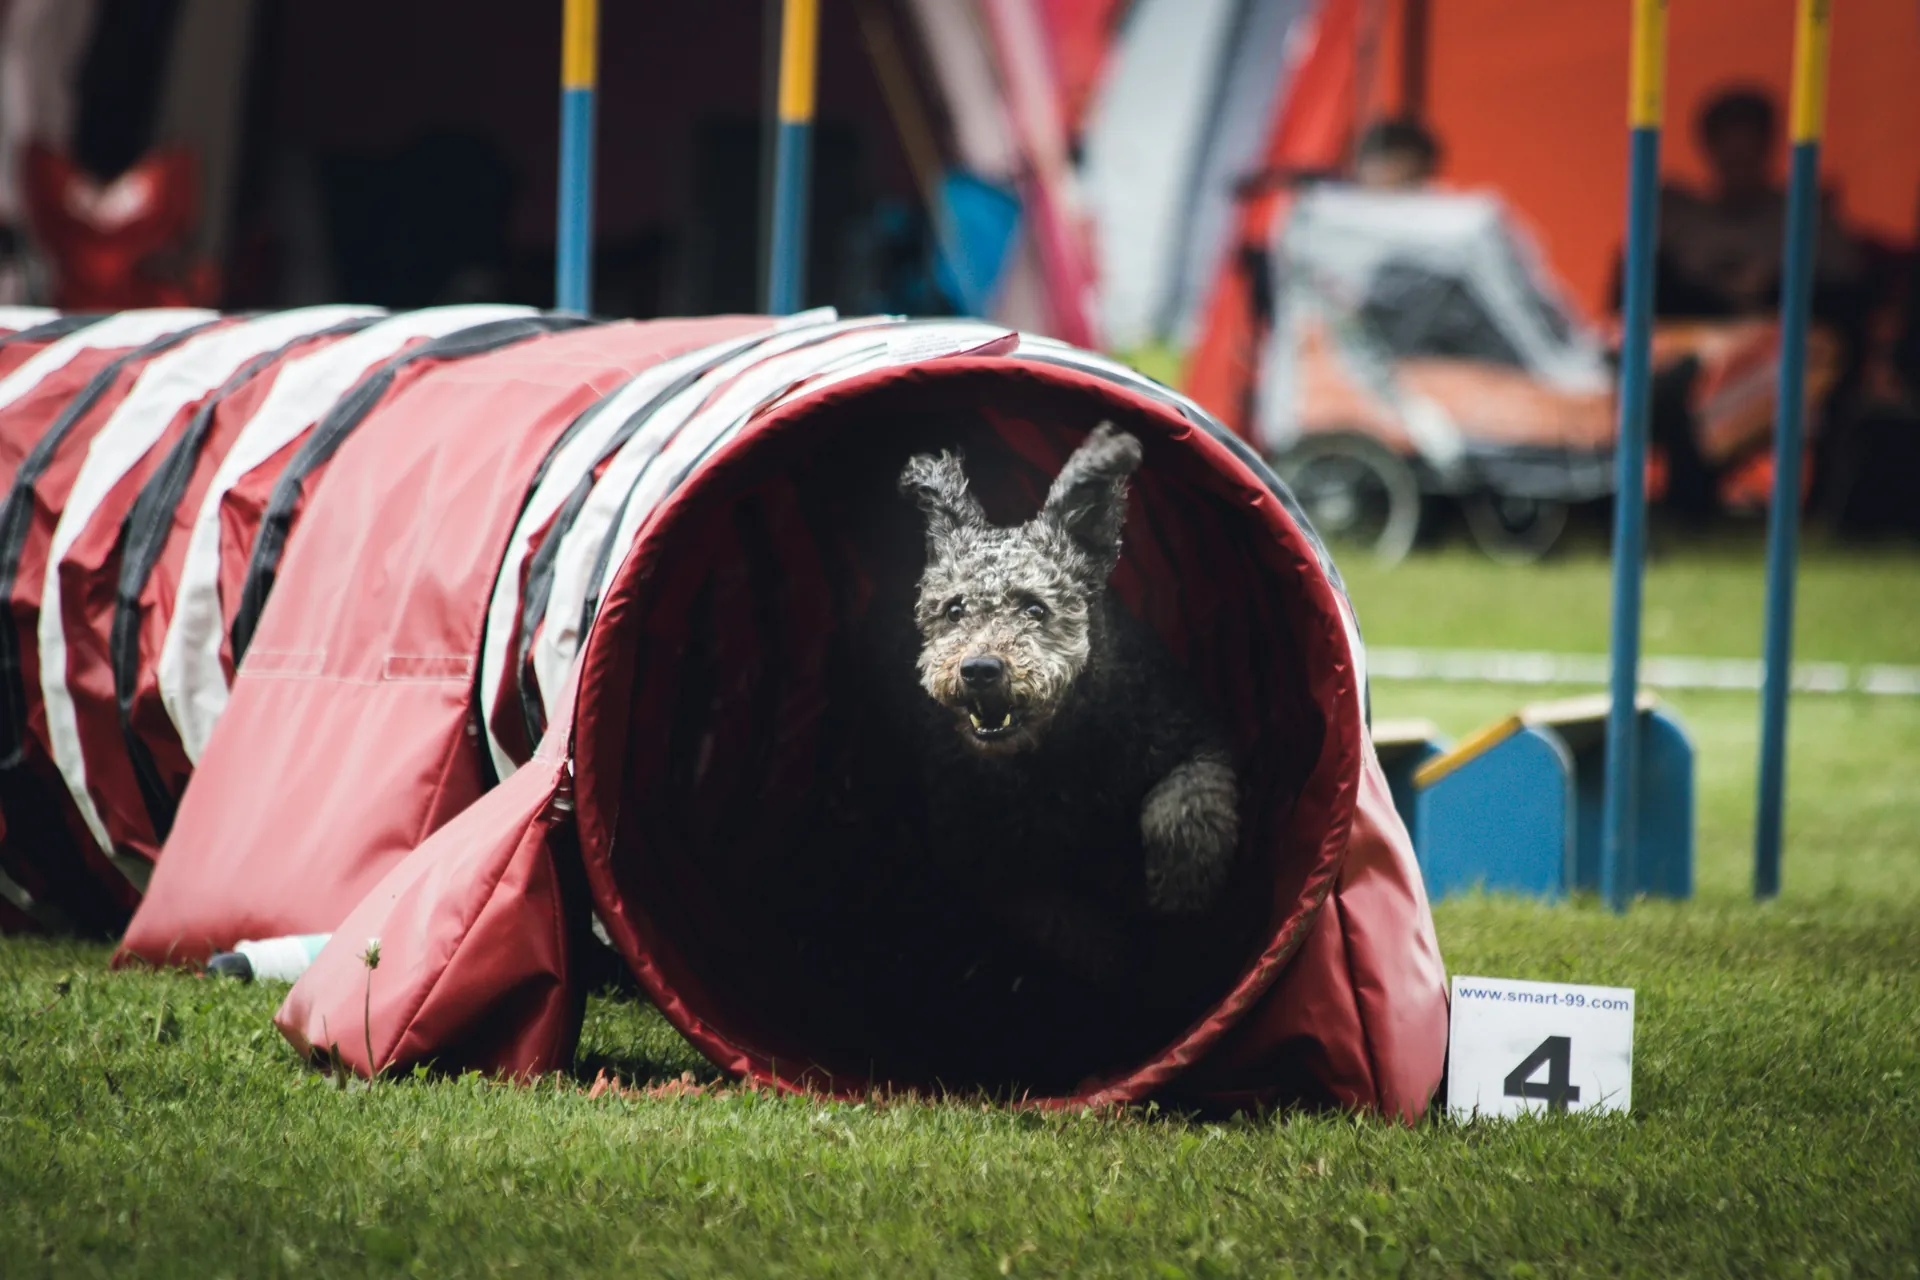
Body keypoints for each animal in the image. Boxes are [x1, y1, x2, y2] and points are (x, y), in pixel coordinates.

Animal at [898, 426, 1244, 990]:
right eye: (954, 609)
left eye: (1035, 608)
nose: (980, 669)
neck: (1057, 749)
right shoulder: (988, 857)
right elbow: (1058, 920)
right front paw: (1113, 957)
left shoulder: (1193, 736)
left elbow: (1183, 804)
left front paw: (1182, 890)